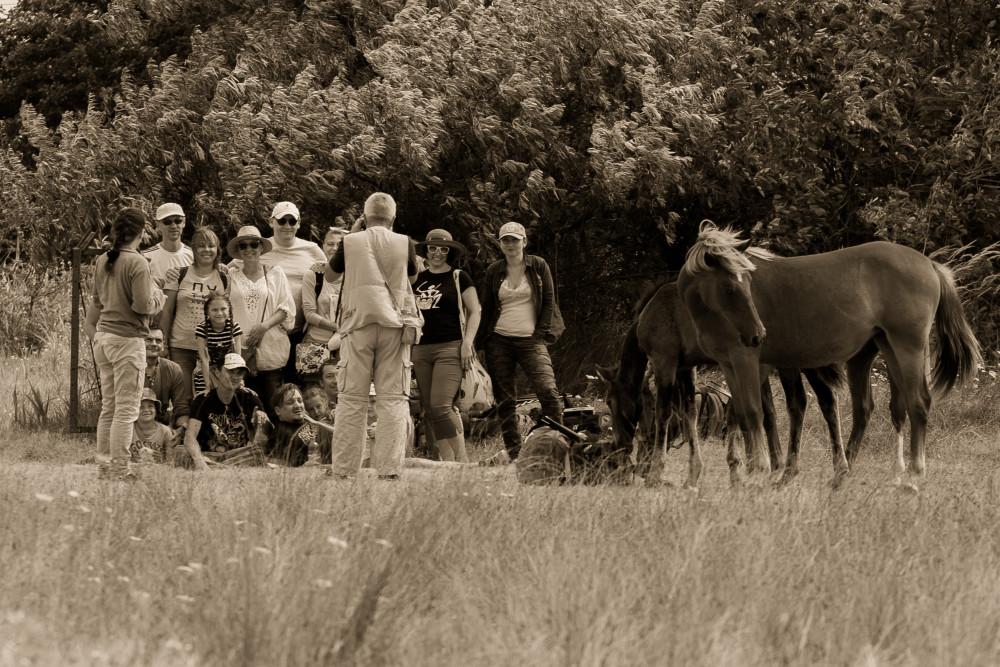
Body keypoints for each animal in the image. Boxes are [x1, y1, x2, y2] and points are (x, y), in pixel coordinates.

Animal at [596, 282, 848, 490]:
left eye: (610, 400)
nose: (618, 444)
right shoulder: (686, 366)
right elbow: (690, 413)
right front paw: (693, 474)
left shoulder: (664, 359)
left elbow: (664, 414)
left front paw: (656, 473)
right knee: (824, 400)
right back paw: (833, 473)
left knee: (798, 402)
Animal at [676, 222, 980, 488]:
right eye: (729, 287)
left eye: (748, 283)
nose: (757, 334)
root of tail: (929, 264)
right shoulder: (729, 363)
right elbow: (738, 412)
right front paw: (740, 474)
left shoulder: (749, 361)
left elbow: (753, 412)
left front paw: (756, 472)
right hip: (888, 347)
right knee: (891, 407)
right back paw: (873, 475)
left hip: (908, 347)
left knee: (918, 402)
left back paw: (914, 475)